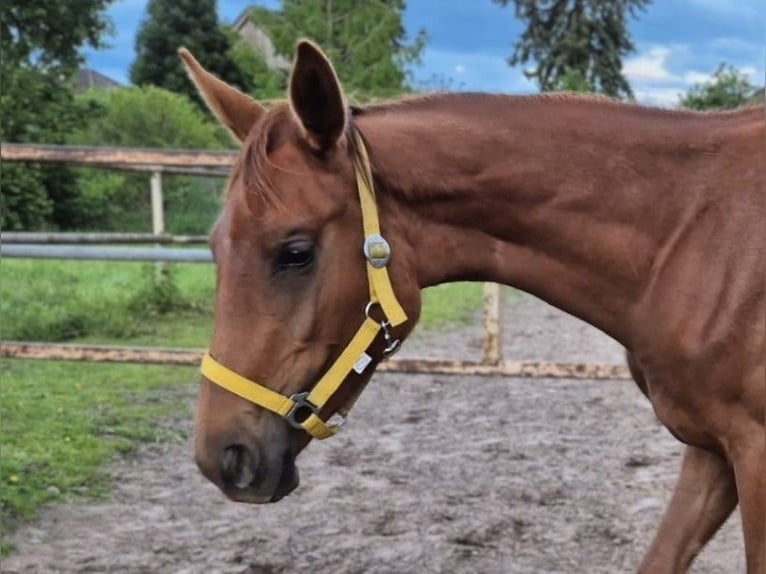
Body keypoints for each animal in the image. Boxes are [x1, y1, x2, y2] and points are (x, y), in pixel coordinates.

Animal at [179, 41, 764, 573]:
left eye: (295, 251)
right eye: (214, 247)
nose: (222, 457)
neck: (694, 234)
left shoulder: (752, 455)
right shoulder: (711, 450)